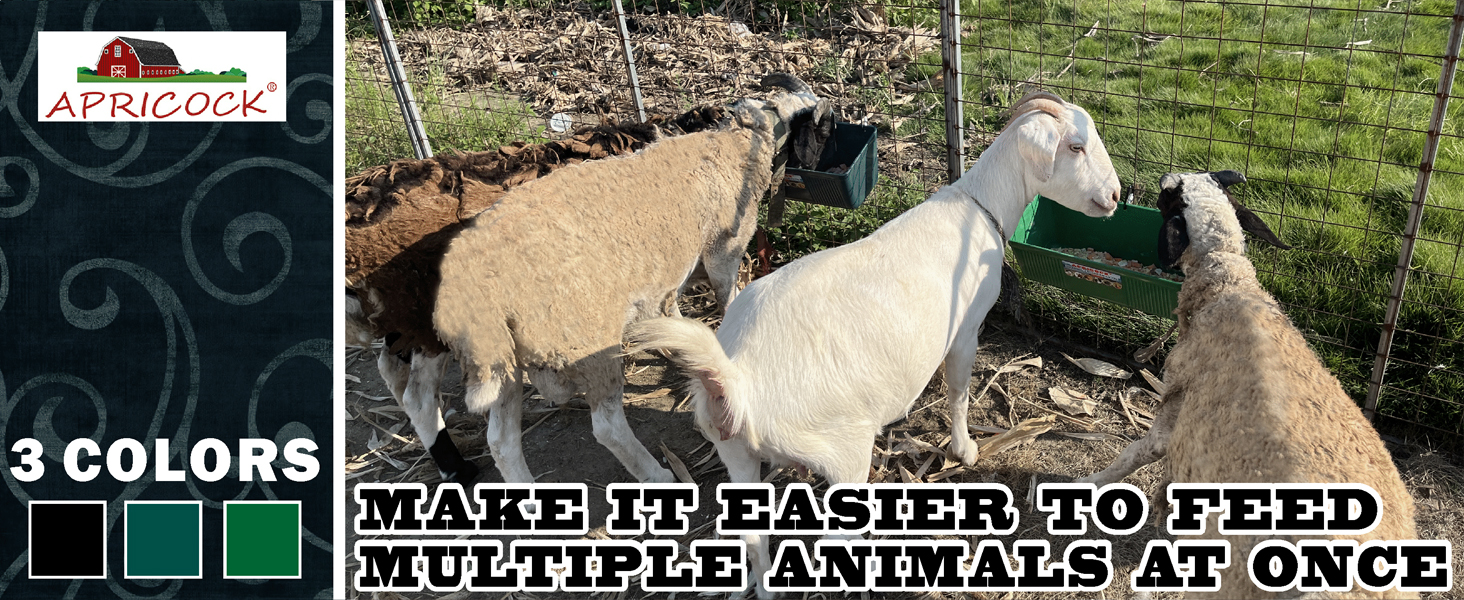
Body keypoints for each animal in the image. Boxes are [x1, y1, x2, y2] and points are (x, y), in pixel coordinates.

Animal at [629, 90, 1118, 594]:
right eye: (1076, 146)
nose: (1116, 196)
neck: (979, 208)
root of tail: (736, 379)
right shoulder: (966, 330)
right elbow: (958, 393)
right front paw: (963, 451)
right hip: (840, 450)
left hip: (736, 453)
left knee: (753, 539)